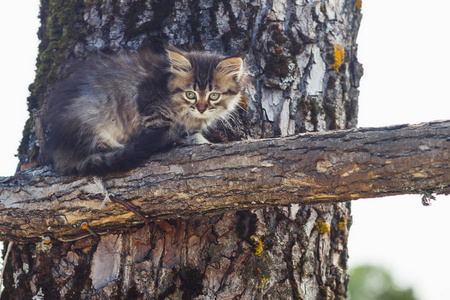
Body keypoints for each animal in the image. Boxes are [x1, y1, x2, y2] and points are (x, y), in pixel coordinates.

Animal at [42, 47, 246, 176]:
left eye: (213, 96)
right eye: (190, 94)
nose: (201, 109)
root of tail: (60, 153)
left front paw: (197, 139)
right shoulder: (149, 102)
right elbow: (160, 127)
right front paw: (180, 140)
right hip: (93, 115)